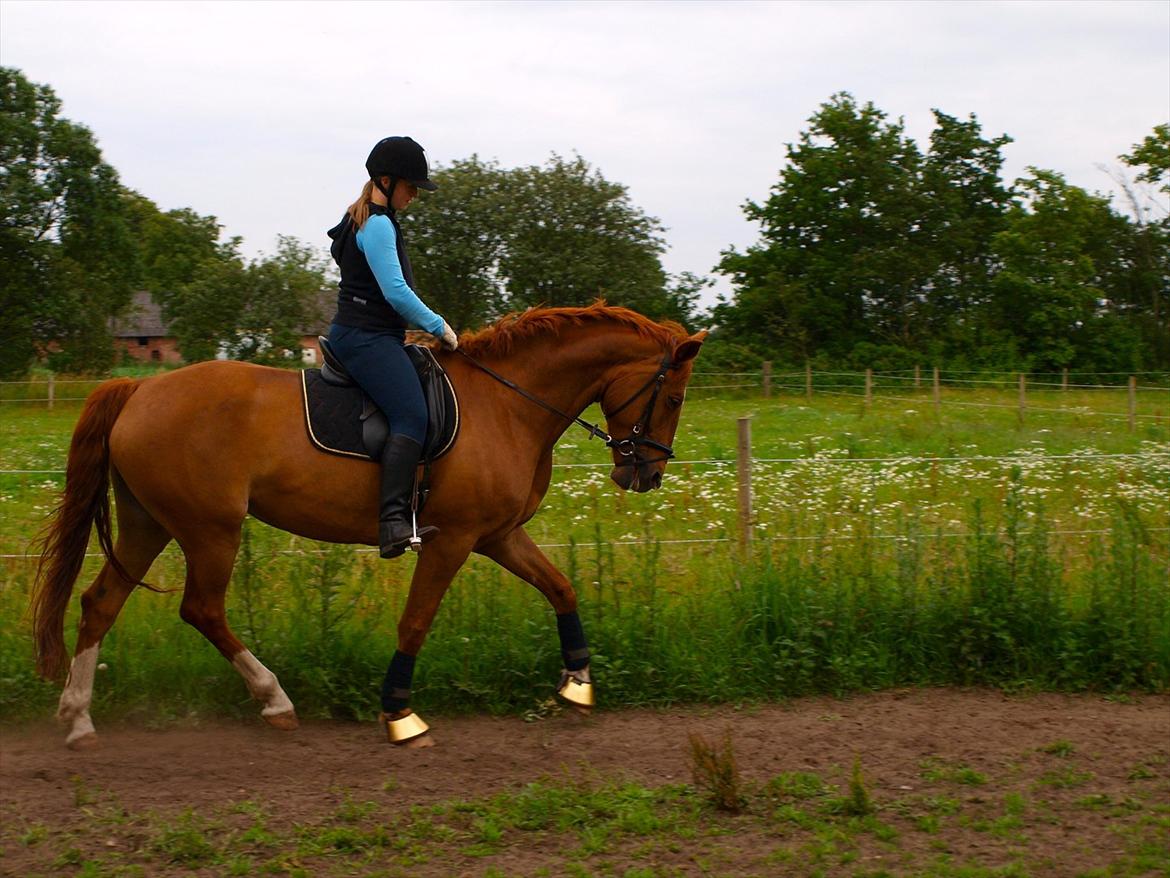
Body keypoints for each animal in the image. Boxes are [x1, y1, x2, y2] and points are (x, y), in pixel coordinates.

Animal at [34, 306, 702, 753]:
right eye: (672, 397)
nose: (645, 474)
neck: (508, 404)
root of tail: (138, 388)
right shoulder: (453, 539)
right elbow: (416, 621)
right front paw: (400, 715)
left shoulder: (498, 535)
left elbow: (560, 587)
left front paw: (578, 683)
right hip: (209, 530)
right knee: (201, 609)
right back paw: (274, 700)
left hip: (149, 524)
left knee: (100, 603)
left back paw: (78, 718)